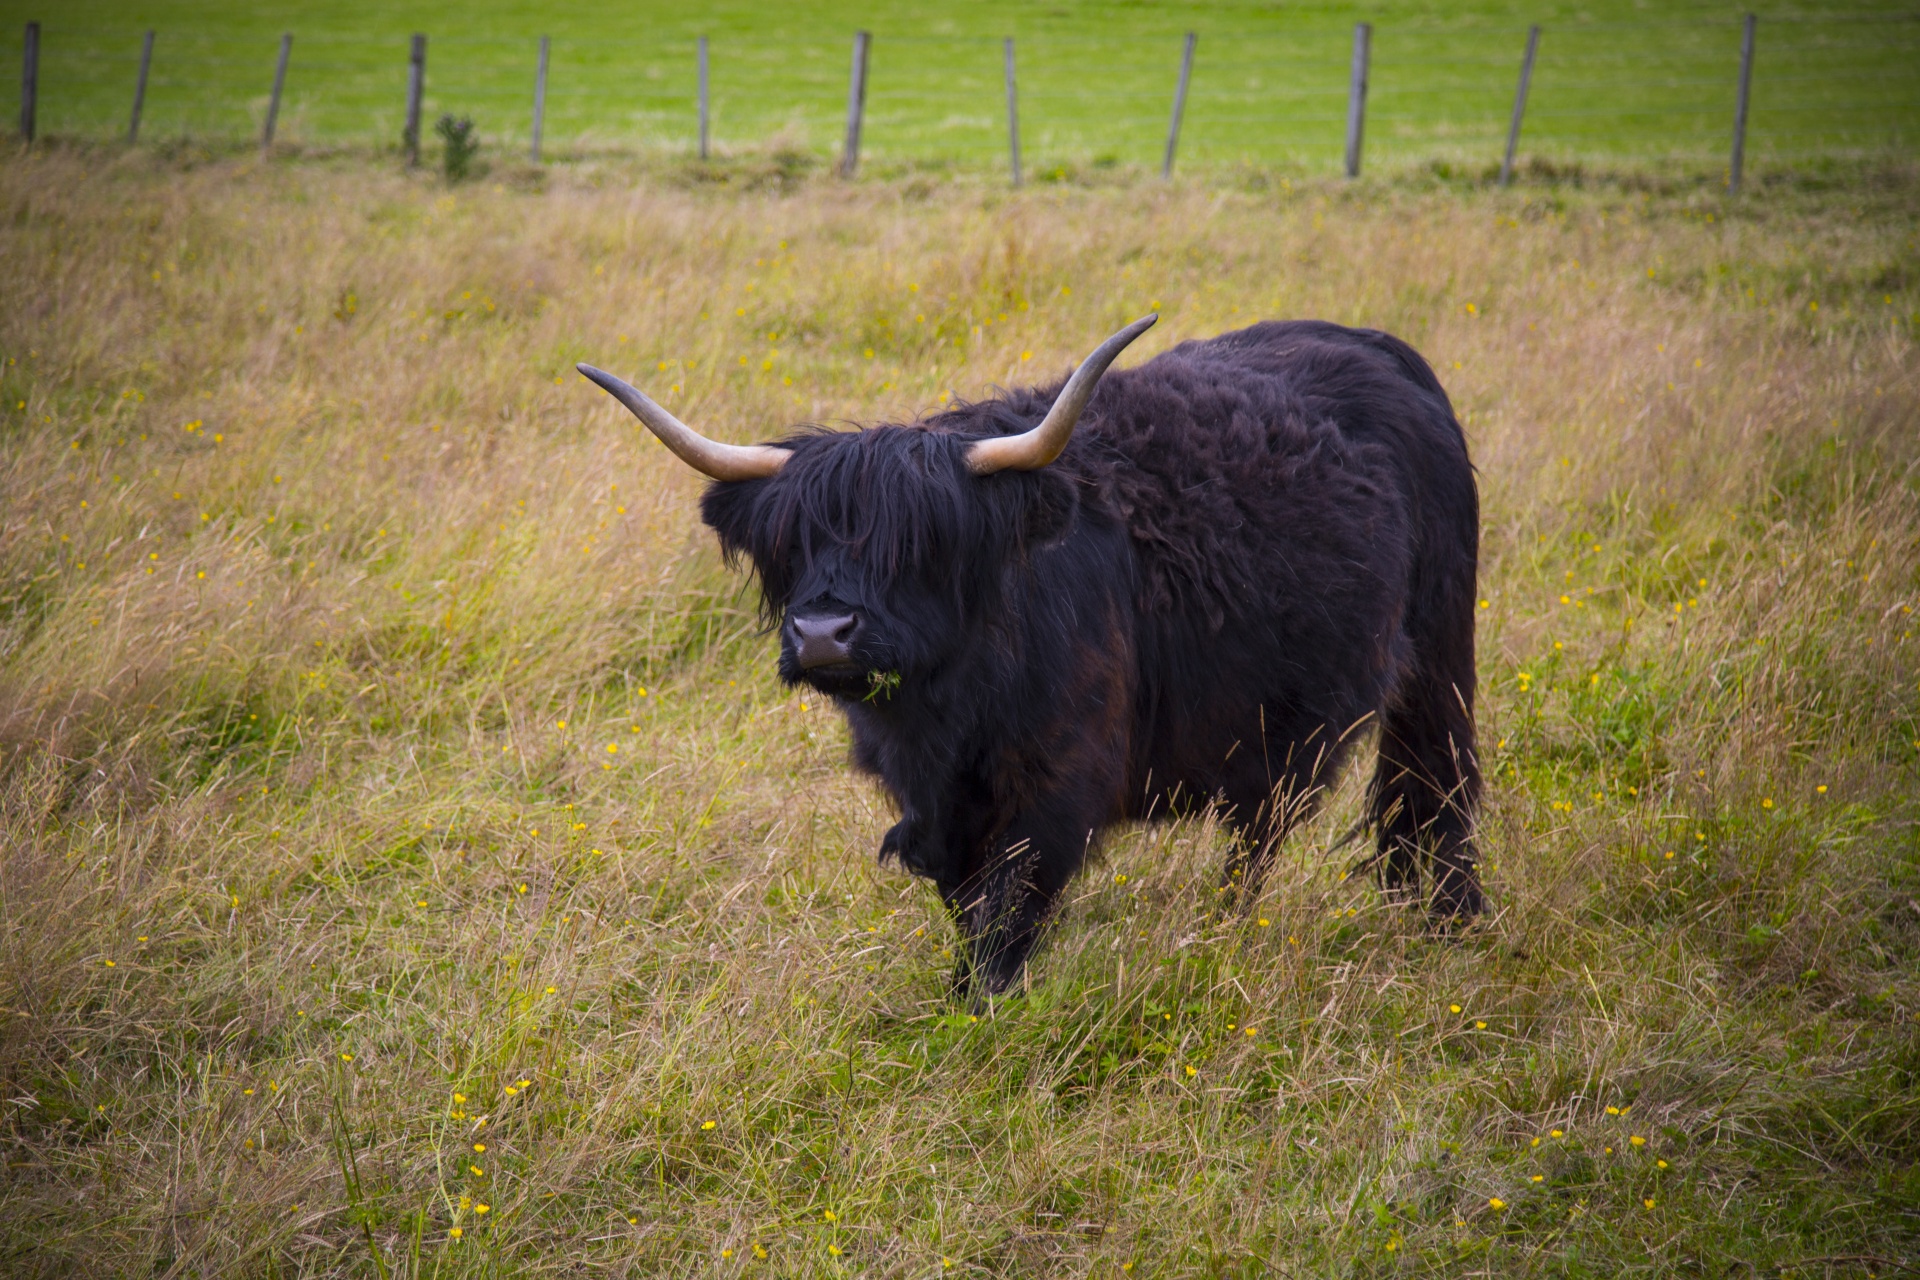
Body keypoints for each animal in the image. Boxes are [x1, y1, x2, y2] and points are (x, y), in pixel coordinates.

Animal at [583, 318, 1482, 997]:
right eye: (791, 543)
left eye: (924, 541)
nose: (823, 633)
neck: (947, 714)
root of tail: (1368, 343)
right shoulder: (932, 805)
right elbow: (963, 899)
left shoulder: (1057, 784)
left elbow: (1009, 909)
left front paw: (978, 1011)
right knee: (1263, 828)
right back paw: (1230, 928)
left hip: (1437, 659)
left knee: (1432, 785)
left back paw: (1448, 920)